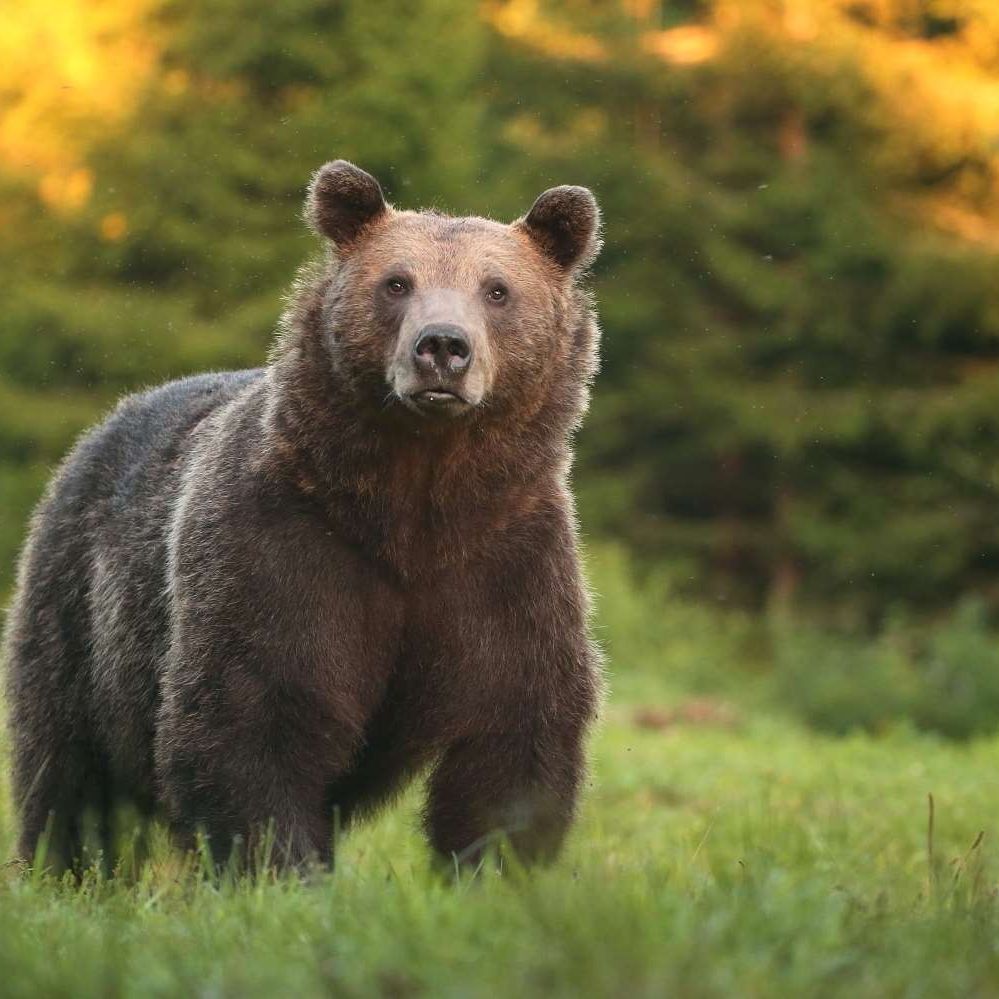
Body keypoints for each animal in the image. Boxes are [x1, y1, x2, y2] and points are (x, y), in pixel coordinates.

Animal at [3, 160, 604, 875]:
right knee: (69, 768)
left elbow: (511, 728)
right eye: (396, 282)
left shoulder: (507, 559)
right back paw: (68, 869)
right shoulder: (284, 545)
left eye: (497, 290)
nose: (442, 348)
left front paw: (495, 867)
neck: (414, 506)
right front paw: (279, 868)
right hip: (78, 611)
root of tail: (104, 425)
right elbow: (256, 711)